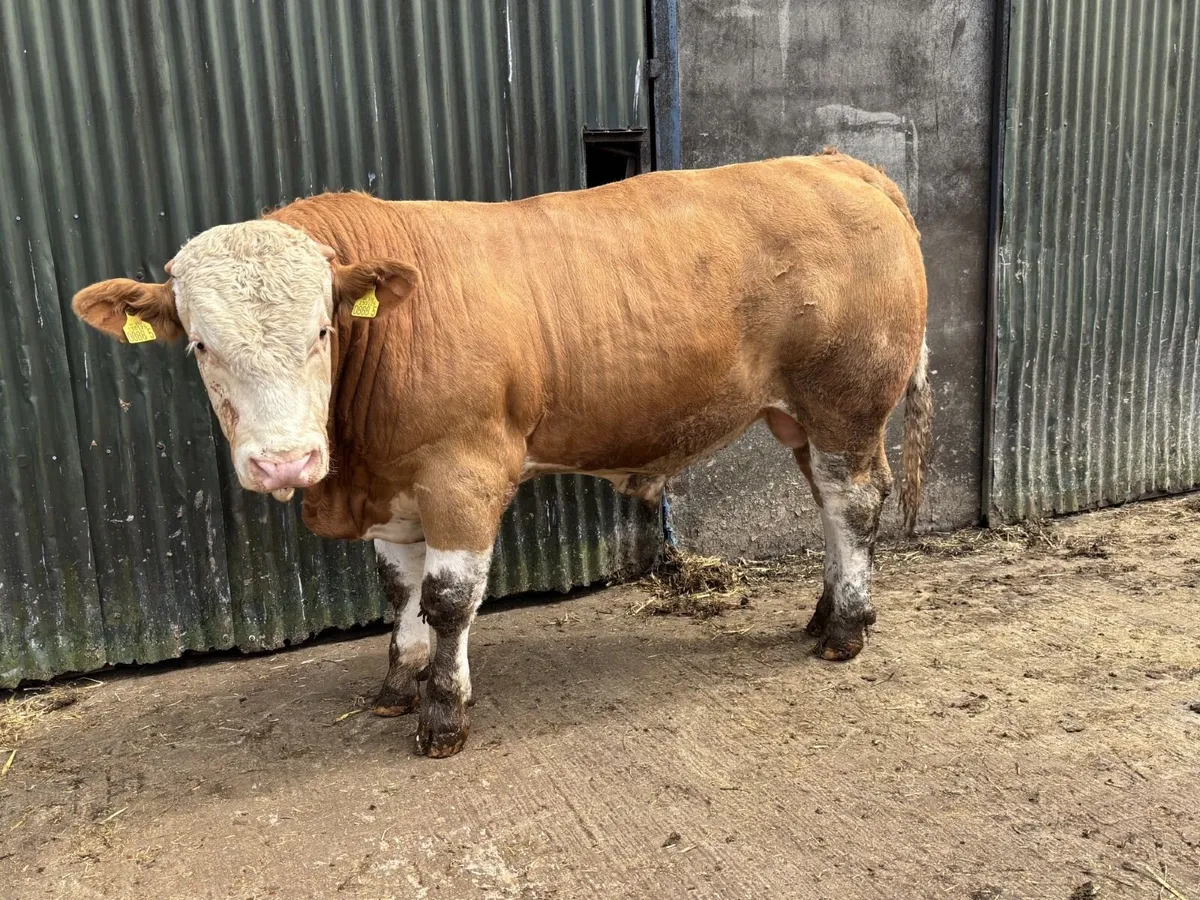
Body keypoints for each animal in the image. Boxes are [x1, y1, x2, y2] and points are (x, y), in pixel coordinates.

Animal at [72, 150, 931, 757]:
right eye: (201, 346)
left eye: (321, 330)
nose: (283, 463)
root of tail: (835, 163)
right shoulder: (394, 487)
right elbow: (400, 590)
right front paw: (399, 682)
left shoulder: (463, 470)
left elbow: (450, 598)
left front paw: (442, 715)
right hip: (804, 418)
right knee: (830, 508)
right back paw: (822, 614)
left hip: (848, 401)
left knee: (856, 504)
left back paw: (846, 629)